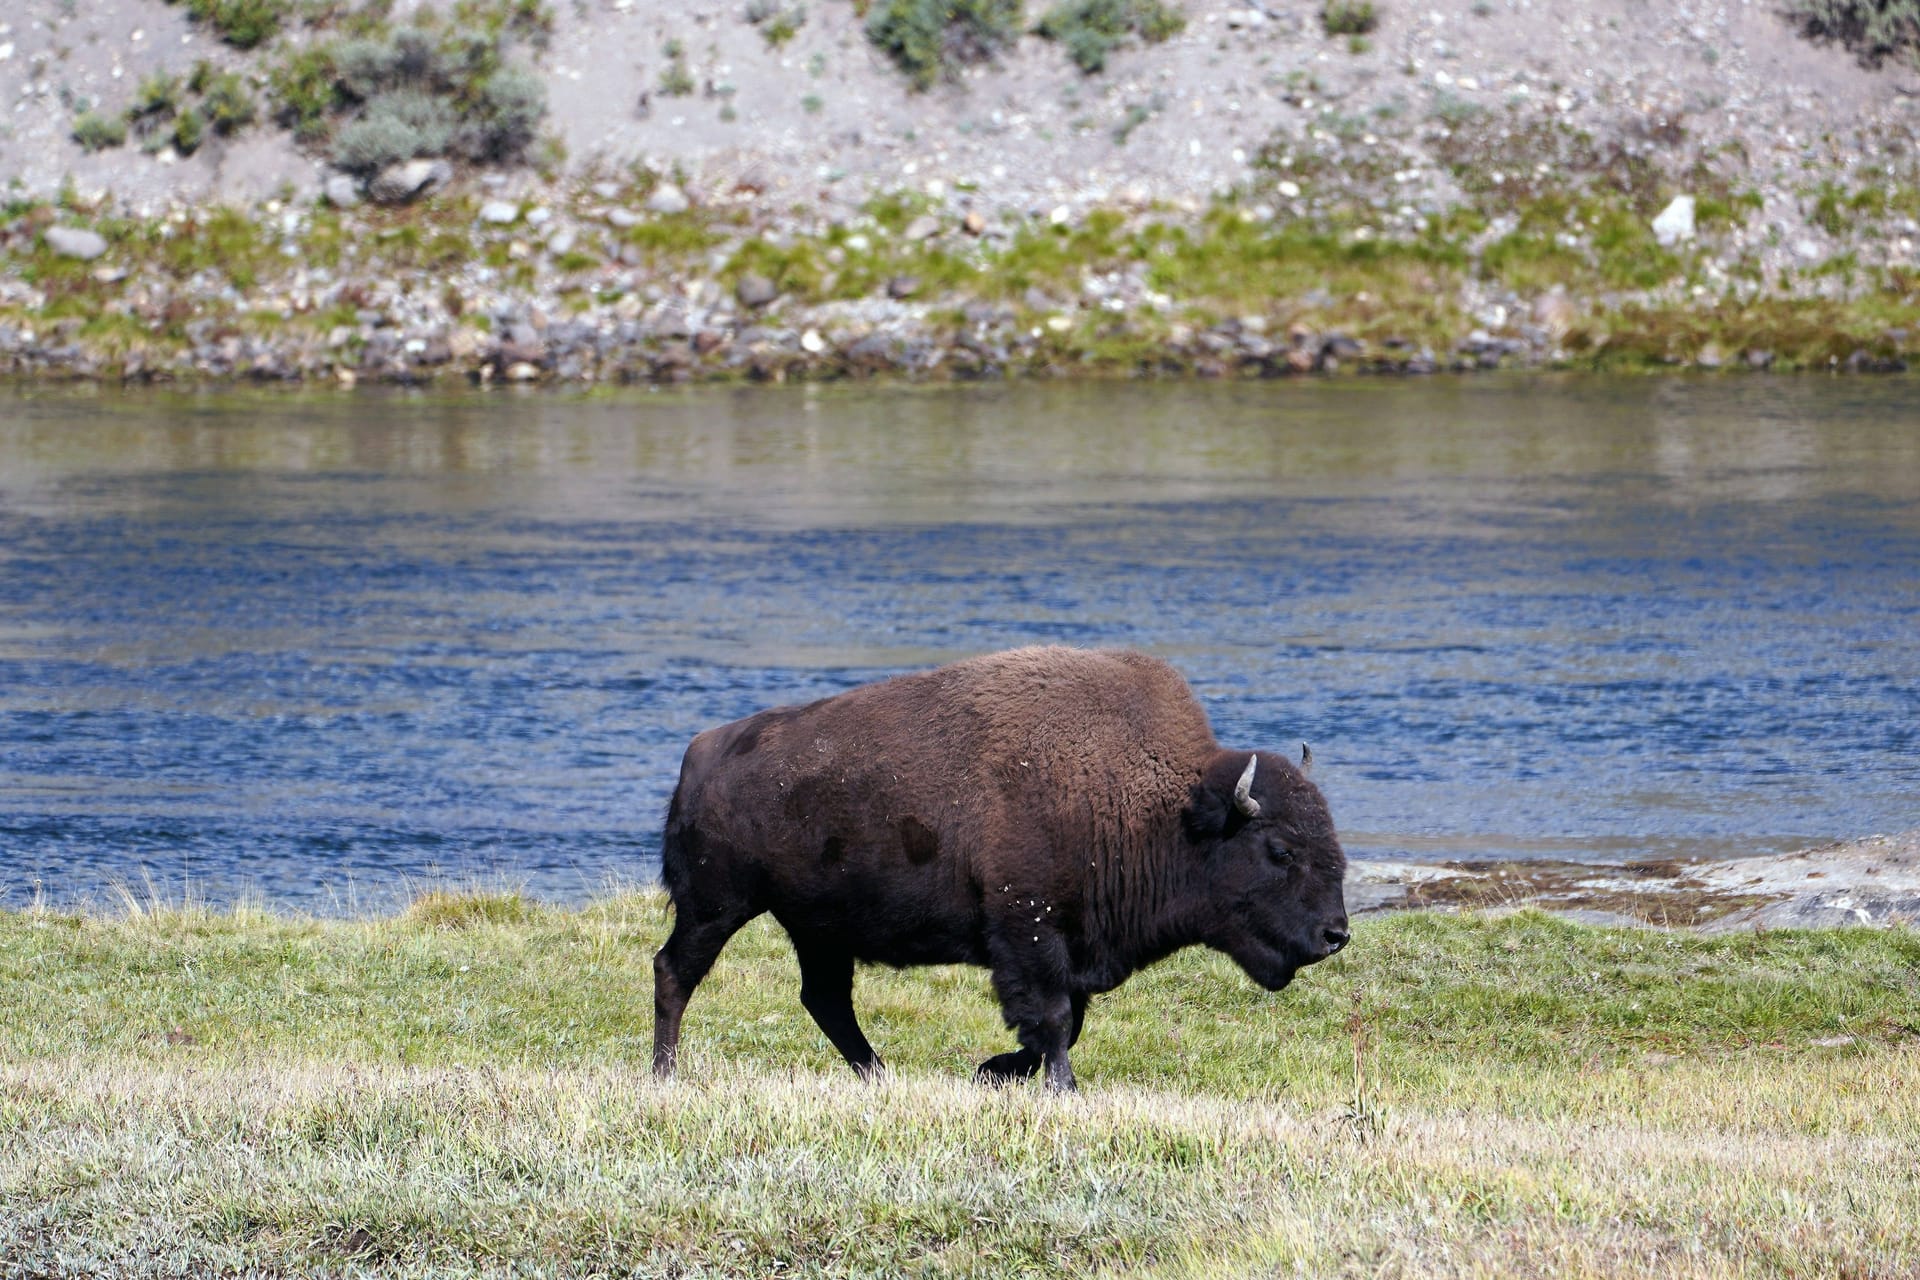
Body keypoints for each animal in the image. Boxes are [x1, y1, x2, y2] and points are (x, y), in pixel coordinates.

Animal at [652, 652, 1359, 1090]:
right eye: (1281, 851)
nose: (1336, 934)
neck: (1161, 805)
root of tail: (699, 756)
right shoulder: (1029, 932)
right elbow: (1051, 1019)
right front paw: (1060, 1089)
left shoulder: (1067, 946)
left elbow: (1064, 1021)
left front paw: (992, 1069)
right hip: (716, 907)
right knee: (674, 972)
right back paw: (664, 1075)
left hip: (818, 928)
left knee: (825, 999)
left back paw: (879, 1075)